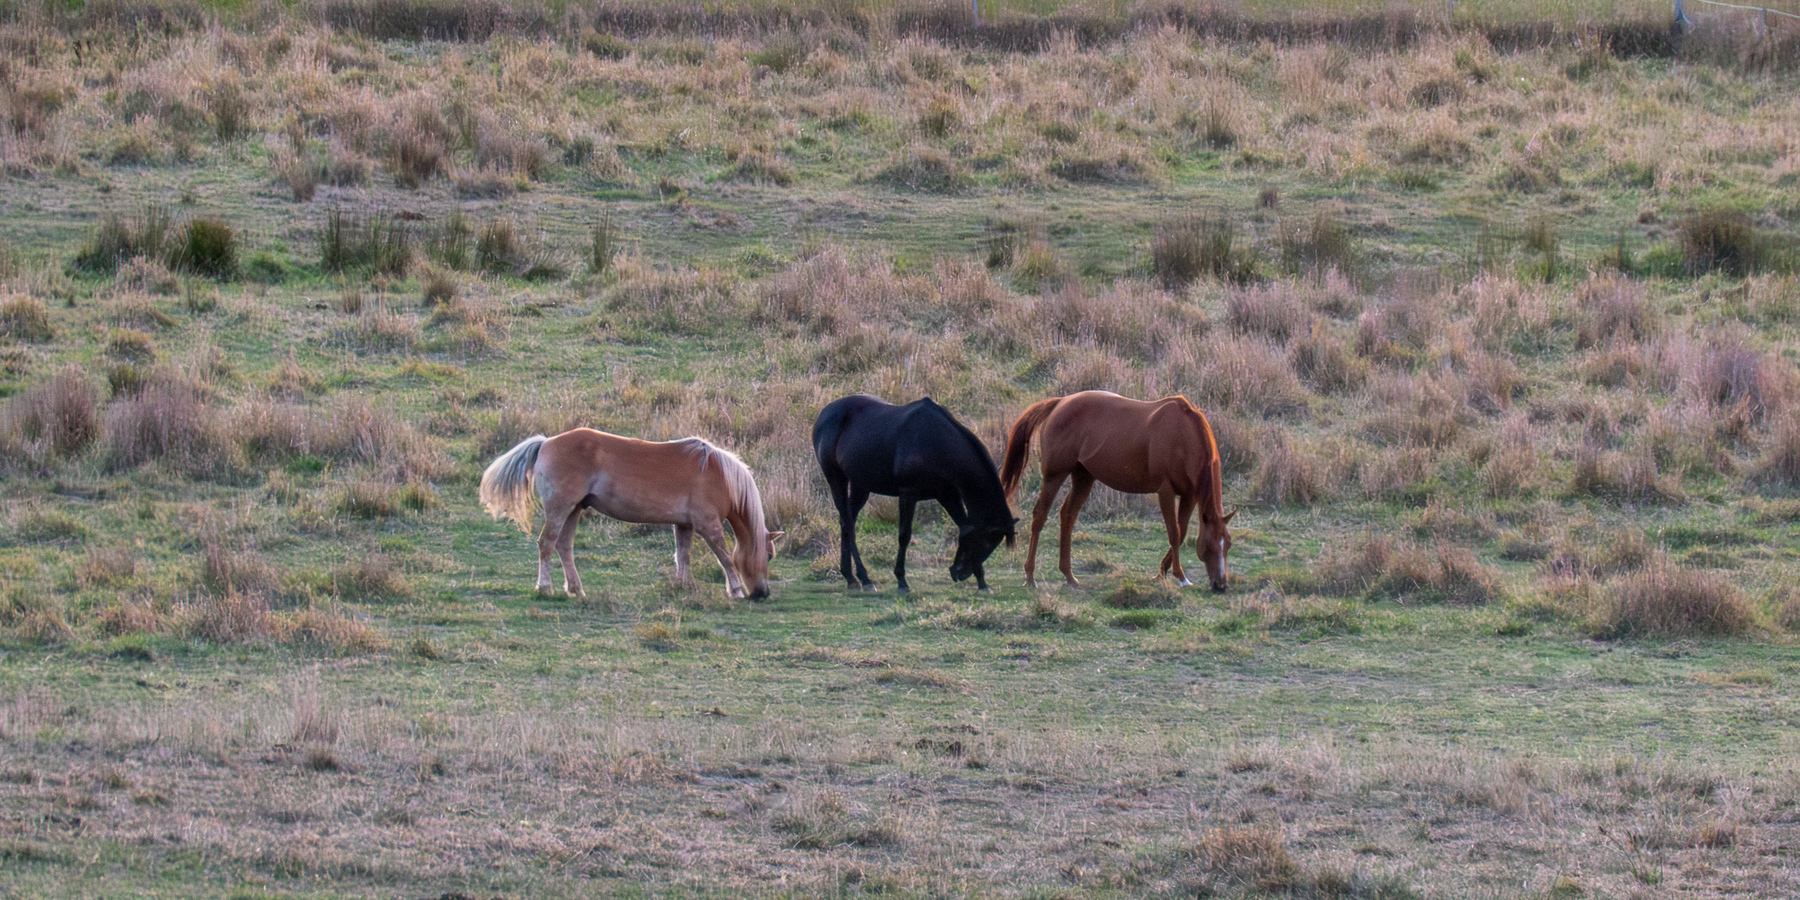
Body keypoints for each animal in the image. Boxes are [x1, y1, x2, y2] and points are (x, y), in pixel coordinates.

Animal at [482, 426, 784, 597]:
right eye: (768, 556)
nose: (762, 593)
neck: (719, 474)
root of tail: (546, 442)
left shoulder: (683, 525)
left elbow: (683, 555)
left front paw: (683, 587)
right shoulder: (708, 525)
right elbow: (724, 557)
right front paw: (735, 590)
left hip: (573, 510)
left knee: (564, 546)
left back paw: (576, 589)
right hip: (559, 508)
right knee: (546, 544)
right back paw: (545, 587)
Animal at [813, 392, 1015, 590]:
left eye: (991, 545)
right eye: (985, 542)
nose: (958, 573)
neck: (935, 442)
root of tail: (824, 414)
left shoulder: (948, 495)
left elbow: (963, 526)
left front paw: (982, 581)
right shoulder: (908, 494)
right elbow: (904, 535)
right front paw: (901, 580)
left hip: (860, 485)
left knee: (847, 521)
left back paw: (850, 577)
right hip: (836, 479)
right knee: (847, 523)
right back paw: (864, 578)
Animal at [1000, 392, 1238, 590]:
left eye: (1228, 545)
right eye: (1209, 547)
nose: (1221, 585)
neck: (1182, 434)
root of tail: (1059, 402)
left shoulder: (1189, 495)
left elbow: (1181, 533)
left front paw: (1162, 572)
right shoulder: (1166, 491)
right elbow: (1174, 532)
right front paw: (1180, 576)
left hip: (1083, 477)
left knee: (1067, 515)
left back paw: (1069, 575)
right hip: (1054, 475)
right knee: (1039, 516)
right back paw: (1030, 576)